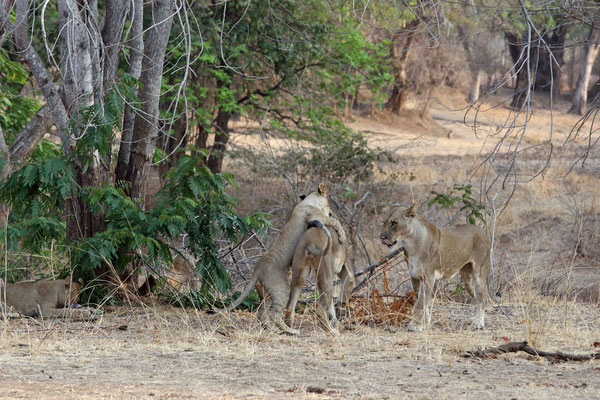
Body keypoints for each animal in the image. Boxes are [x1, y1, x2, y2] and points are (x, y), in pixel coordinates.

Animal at [213, 184, 346, 334]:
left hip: (267, 293)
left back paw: (274, 330)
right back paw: (290, 331)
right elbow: (334, 222)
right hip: (281, 288)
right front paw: (342, 235)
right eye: (328, 203)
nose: (331, 212)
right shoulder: (316, 216)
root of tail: (257, 269)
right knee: (275, 314)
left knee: (262, 313)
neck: (308, 202)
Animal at [380, 203, 492, 332]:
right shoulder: (415, 277)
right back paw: (473, 319)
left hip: (479, 272)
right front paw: (425, 323)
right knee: (475, 297)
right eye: (384, 222)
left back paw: (478, 322)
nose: (382, 237)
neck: (411, 244)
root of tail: (483, 232)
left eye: (394, 223)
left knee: (482, 297)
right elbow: (424, 302)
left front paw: (416, 325)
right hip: (467, 278)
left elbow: (421, 302)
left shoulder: (429, 277)